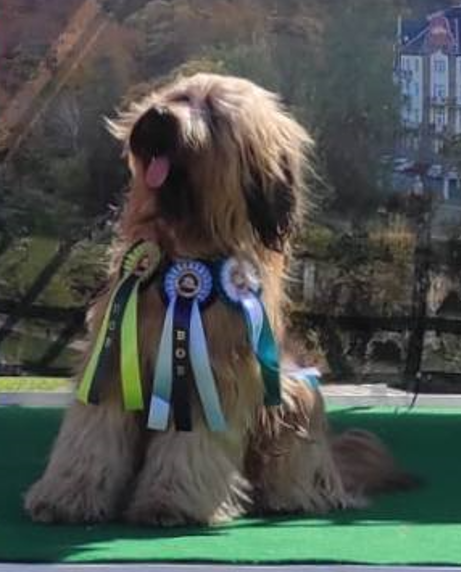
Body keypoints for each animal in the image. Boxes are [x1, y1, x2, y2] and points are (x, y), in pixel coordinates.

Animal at [25, 73, 412, 526]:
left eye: (212, 112)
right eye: (178, 96)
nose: (157, 116)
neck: (182, 254)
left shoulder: (209, 374)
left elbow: (191, 444)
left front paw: (170, 502)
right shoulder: (112, 360)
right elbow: (91, 435)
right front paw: (67, 495)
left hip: (295, 389)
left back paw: (291, 496)